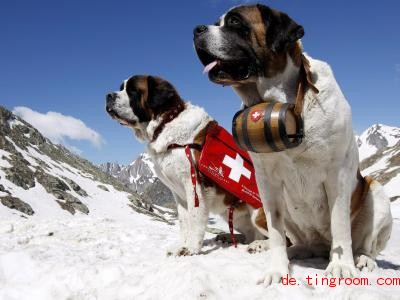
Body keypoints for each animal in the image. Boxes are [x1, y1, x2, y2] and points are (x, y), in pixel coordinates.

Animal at [106, 75, 268, 255]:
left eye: (132, 91)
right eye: (121, 87)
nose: (108, 96)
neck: (166, 122)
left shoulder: (194, 186)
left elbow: (195, 218)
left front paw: (191, 248)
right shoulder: (178, 193)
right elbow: (184, 221)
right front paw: (181, 244)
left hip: (258, 212)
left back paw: (260, 245)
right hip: (231, 215)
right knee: (250, 235)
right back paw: (229, 237)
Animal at [194, 2, 394, 284]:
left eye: (234, 22)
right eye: (217, 22)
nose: (197, 30)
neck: (285, 102)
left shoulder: (338, 174)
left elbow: (340, 224)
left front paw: (341, 267)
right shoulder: (267, 183)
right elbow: (277, 231)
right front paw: (277, 270)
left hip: (376, 194)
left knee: (366, 244)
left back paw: (361, 259)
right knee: (298, 242)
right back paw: (283, 249)